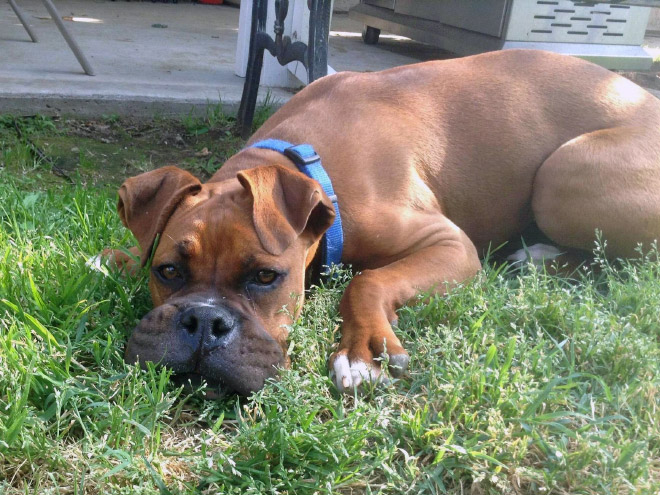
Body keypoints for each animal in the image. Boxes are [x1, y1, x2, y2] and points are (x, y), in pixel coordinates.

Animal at [108, 50, 660, 398]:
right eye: (168, 271)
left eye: (266, 277)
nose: (204, 322)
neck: (305, 162)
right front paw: (118, 257)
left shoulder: (451, 245)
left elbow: (368, 281)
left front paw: (362, 352)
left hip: (561, 173)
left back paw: (539, 257)